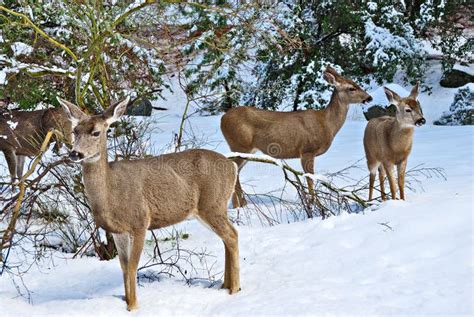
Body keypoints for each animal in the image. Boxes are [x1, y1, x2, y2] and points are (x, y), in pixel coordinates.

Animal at [57, 97, 239, 310]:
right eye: (74, 131)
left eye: (96, 132)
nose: (75, 154)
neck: (111, 194)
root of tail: (232, 165)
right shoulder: (118, 230)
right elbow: (123, 266)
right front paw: (127, 301)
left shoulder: (140, 221)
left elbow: (133, 266)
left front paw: (134, 306)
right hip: (207, 209)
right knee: (227, 238)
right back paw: (225, 286)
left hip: (213, 204)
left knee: (232, 235)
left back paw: (234, 289)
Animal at [220, 65, 372, 206]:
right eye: (351, 88)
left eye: (356, 83)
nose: (369, 97)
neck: (327, 124)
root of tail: (222, 119)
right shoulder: (307, 150)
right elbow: (310, 179)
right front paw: (314, 204)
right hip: (240, 144)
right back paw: (242, 204)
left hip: (246, 149)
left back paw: (236, 206)